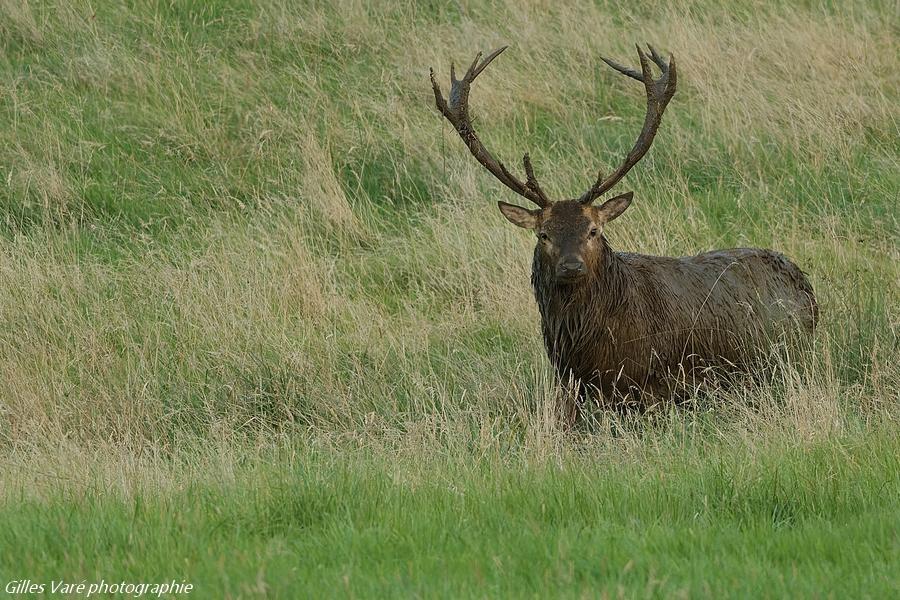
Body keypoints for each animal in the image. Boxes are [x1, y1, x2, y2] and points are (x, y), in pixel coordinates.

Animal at [432, 45, 820, 422]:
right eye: (544, 234)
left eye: (593, 230)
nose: (571, 266)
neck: (586, 347)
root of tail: (807, 287)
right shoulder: (567, 385)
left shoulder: (659, 384)